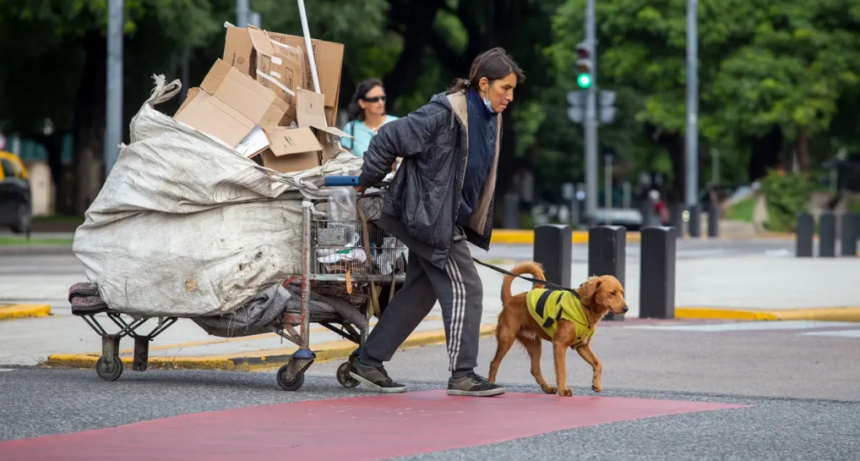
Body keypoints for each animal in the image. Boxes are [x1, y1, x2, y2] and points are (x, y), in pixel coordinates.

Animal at [490, 262, 624, 396]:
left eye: (622, 293)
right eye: (612, 293)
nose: (626, 308)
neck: (584, 306)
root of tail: (510, 299)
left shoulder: (582, 346)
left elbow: (598, 364)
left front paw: (596, 384)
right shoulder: (559, 345)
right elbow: (561, 370)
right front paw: (563, 390)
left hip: (534, 344)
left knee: (534, 369)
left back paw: (547, 388)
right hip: (506, 339)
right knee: (494, 363)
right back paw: (491, 385)